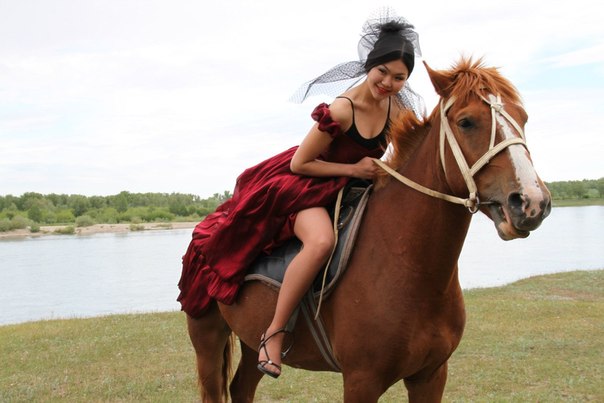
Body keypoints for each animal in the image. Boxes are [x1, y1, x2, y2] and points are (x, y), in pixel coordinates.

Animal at [185, 57, 552, 402]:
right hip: (207, 338)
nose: (531, 202)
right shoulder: (362, 380)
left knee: (241, 388)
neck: (411, 267)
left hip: (249, 341)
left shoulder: (431, 375)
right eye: (466, 121)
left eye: (523, 118)